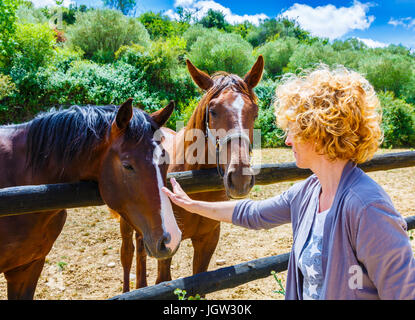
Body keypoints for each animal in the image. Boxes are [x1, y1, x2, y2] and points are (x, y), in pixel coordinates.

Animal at [118, 56, 264, 292]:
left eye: (255, 112)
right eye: (213, 111)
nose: (240, 178)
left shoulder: (207, 241)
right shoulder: (167, 245)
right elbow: (162, 280)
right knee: (127, 254)